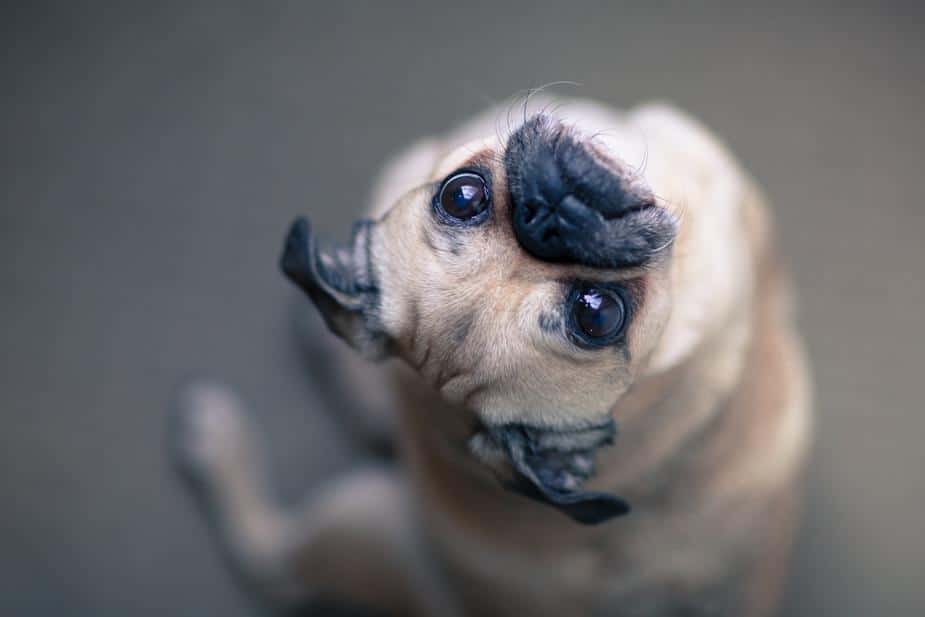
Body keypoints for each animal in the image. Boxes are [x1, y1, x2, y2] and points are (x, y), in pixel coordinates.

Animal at [171, 97, 808, 616]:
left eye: (597, 313)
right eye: (462, 194)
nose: (546, 215)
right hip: (360, 520)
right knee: (269, 562)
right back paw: (219, 439)